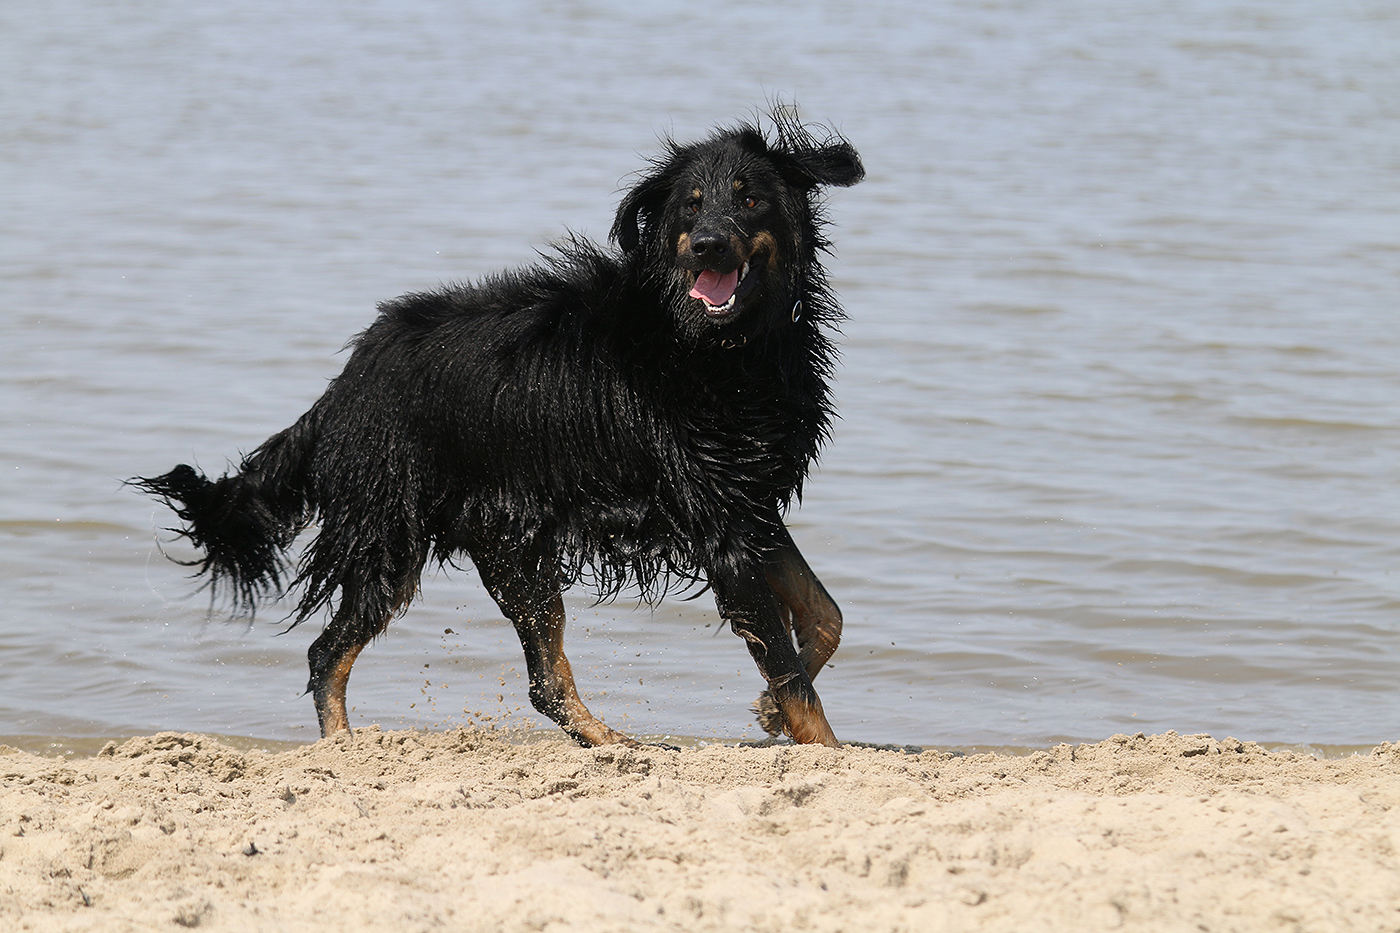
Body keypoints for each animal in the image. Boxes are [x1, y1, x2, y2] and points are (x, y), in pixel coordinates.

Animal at [135, 110, 864, 747]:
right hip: (393, 538)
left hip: (509, 544)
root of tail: (345, 385)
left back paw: (612, 743)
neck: (720, 348)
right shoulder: (721, 523)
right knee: (327, 652)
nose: (708, 242)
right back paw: (342, 748)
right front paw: (822, 747)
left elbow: (825, 617)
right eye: (690, 204)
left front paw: (767, 709)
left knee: (542, 680)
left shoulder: (751, 502)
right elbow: (794, 675)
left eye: (750, 199)